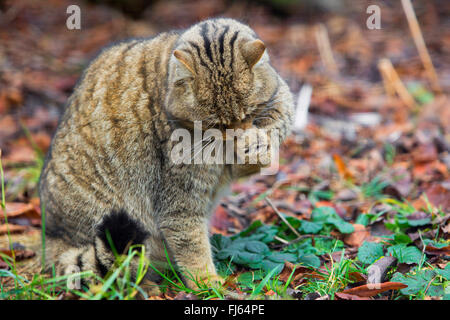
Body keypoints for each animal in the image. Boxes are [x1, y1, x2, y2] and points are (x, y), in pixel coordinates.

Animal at [39, 17, 296, 288]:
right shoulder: (179, 204)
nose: (237, 136)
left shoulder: (279, 101)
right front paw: (206, 282)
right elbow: (191, 245)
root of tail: (51, 241)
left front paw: (257, 146)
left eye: (248, 113)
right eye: (215, 124)